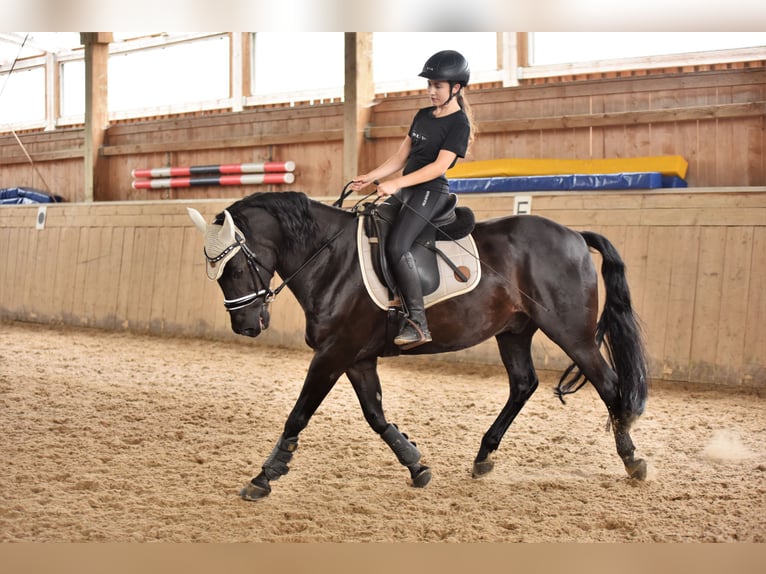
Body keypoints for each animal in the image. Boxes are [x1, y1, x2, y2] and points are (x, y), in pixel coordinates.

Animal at [188, 191, 648, 502]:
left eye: (234, 267)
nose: (245, 326)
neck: (332, 260)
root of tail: (574, 236)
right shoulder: (357, 358)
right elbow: (376, 416)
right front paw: (415, 463)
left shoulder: (334, 353)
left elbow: (298, 414)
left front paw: (266, 475)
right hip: (514, 331)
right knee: (523, 384)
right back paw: (484, 455)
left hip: (572, 333)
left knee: (609, 385)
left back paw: (632, 460)